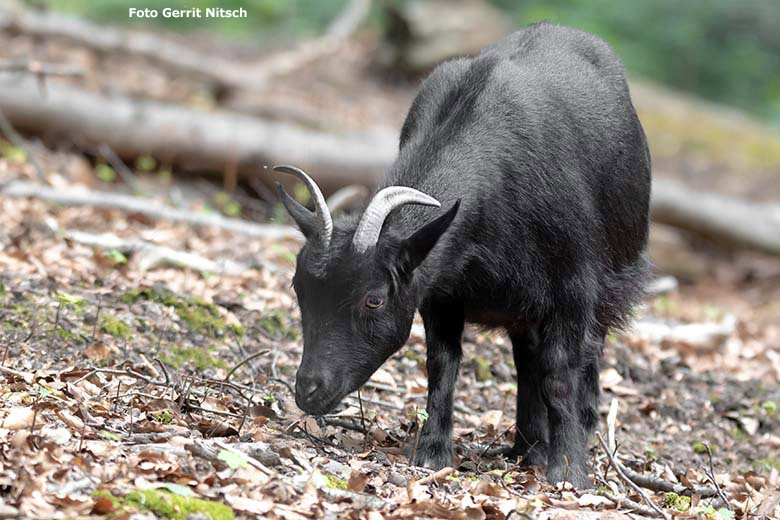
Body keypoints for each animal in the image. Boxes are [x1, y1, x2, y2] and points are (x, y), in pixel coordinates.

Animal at [274, 23, 652, 488]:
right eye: (299, 288)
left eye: (374, 299)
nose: (308, 389)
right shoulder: (441, 291)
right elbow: (443, 366)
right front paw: (433, 453)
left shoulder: (573, 287)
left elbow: (561, 373)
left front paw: (568, 471)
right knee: (526, 358)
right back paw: (527, 448)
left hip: (613, 277)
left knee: (587, 352)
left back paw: (575, 432)